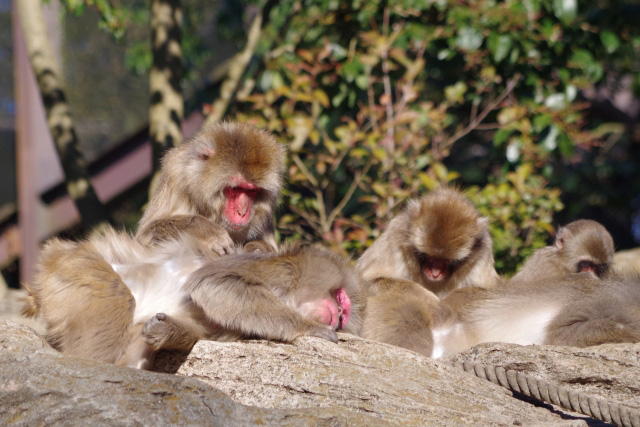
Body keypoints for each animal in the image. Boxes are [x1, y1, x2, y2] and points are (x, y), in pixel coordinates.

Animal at [22, 228, 363, 370]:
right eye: (341, 301)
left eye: (344, 313)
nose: (339, 316)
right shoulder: (284, 269)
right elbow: (213, 282)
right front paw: (310, 329)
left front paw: (167, 331)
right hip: (75, 268)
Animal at [136, 121, 285, 255]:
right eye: (236, 188)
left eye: (252, 190)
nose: (242, 212)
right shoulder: (175, 175)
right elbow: (145, 235)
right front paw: (207, 232)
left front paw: (257, 248)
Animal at [356, 187, 499, 299]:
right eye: (424, 255)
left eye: (449, 261)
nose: (435, 273)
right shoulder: (395, 234)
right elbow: (364, 281)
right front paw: (425, 298)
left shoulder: (484, 251)